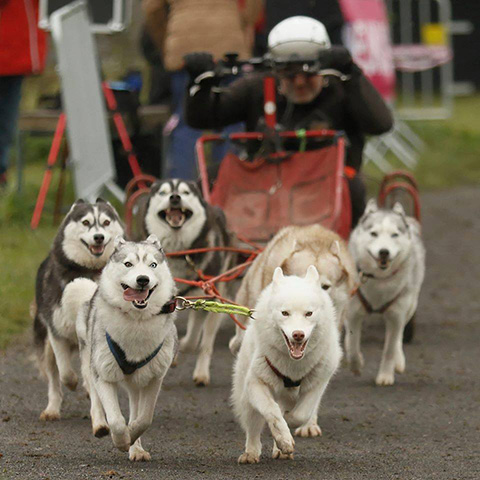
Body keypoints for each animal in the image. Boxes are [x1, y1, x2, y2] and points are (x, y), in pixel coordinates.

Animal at [33, 199, 124, 420]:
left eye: (106, 222)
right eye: (86, 222)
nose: (98, 237)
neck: (89, 271)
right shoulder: (56, 332)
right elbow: (65, 373)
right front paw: (73, 382)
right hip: (47, 344)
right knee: (54, 378)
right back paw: (52, 408)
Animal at [71, 236, 176, 462]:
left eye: (152, 265)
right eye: (128, 264)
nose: (143, 279)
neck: (136, 322)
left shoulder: (155, 377)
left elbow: (144, 418)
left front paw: (132, 435)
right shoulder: (104, 373)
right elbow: (117, 421)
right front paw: (120, 441)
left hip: (137, 381)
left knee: (135, 406)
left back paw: (136, 449)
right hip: (90, 361)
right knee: (94, 397)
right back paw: (100, 424)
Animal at [138, 179, 233, 386]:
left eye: (185, 192)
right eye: (163, 192)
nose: (175, 197)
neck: (180, 252)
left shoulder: (208, 298)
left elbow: (194, 341)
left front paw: (181, 351)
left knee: (205, 339)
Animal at [232, 266, 342, 464]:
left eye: (309, 313)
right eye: (285, 313)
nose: (298, 334)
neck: (293, 366)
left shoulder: (318, 383)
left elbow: (300, 414)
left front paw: (288, 427)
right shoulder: (255, 383)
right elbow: (272, 412)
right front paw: (283, 438)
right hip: (246, 399)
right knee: (253, 427)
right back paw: (251, 453)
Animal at [344, 200, 424, 386]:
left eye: (394, 235)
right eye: (374, 233)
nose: (384, 252)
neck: (379, 281)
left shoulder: (396, 315)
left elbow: (389, 349)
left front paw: (386, 376)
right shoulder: (353, 312)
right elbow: (353, 345)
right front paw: (356, 365)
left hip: (410, 306)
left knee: (399, 337)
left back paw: (399, 360)